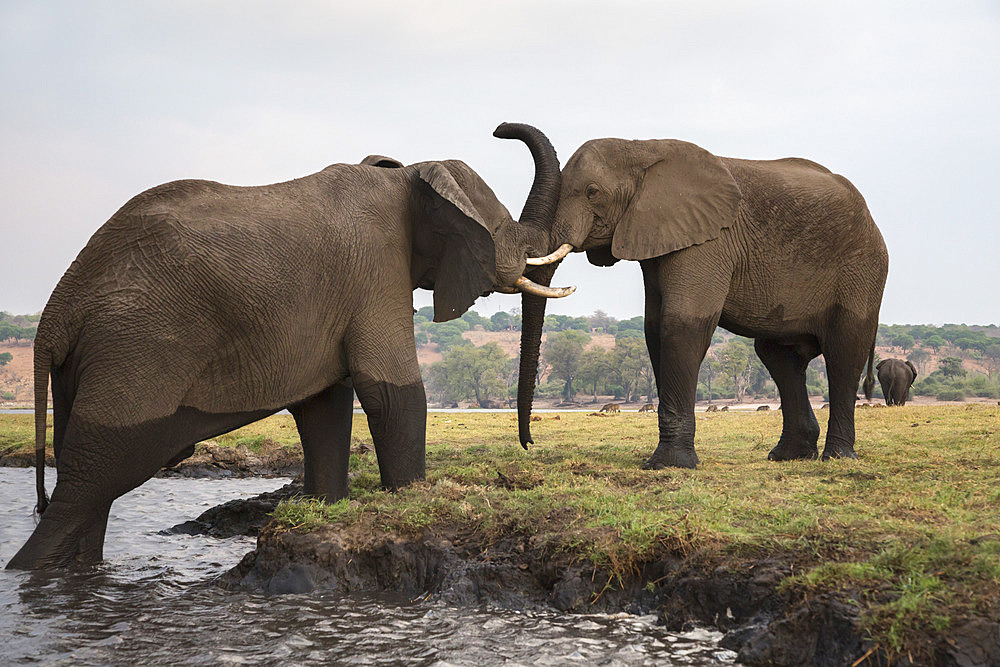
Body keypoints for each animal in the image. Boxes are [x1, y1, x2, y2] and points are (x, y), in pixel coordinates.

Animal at [7, 124, 576, 568]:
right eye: (501, 227)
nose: (529, 445)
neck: (406, 175)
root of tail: (56, 312)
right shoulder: (376, 270)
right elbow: (390, 391)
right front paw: (412, 502)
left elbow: (325, 405)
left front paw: (325, 511)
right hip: (136, 350)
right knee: (89, 483)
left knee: (89, 497)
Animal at [512, 133, 888, 472]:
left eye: (592, 192)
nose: (529, 444)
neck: (642, 148)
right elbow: (654, 329)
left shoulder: (708, 240)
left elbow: (681, 324)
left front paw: (669, 465)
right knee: (779, 357)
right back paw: (789, 456)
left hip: (863, 266)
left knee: (843, 351)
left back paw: (837, 458)